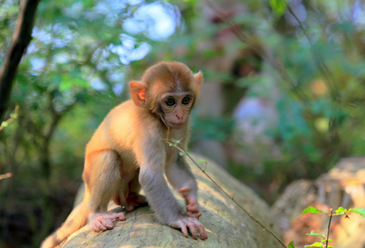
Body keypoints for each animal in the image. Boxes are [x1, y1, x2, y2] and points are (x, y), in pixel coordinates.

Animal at [41, 60, 206, 248]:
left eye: (185, 100)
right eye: (170, 102)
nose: (179, 115)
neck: (157, 118)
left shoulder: (182, 127)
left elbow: (173, 163)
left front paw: (191, 199)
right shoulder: (148, 127)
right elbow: (151, 174)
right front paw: (180, 219)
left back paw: (131, 199)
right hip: (90, 175)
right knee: (108, 157)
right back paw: (97, 215)